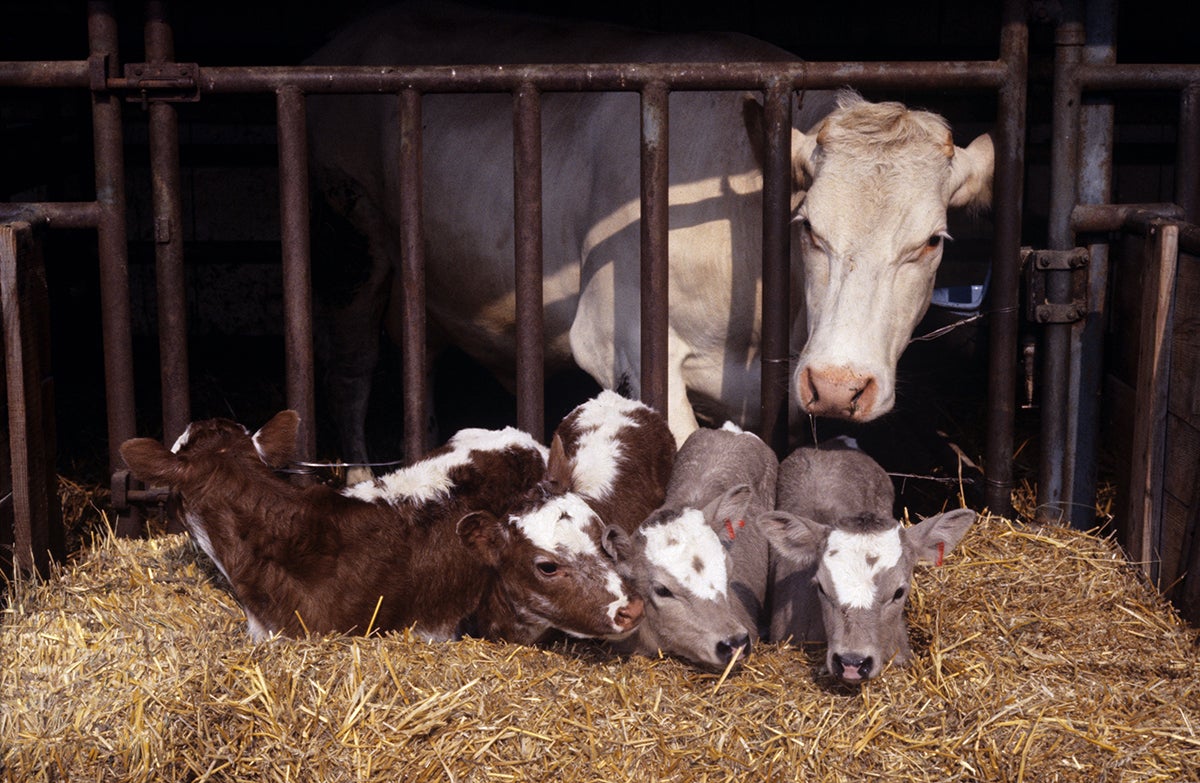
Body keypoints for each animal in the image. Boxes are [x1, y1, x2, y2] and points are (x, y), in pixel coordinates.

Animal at [307, 0, 993, 470]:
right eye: (808, 228)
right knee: (351, 367)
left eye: (932, 241)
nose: (837, 385)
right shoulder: (627, 336)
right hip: (354, 244)